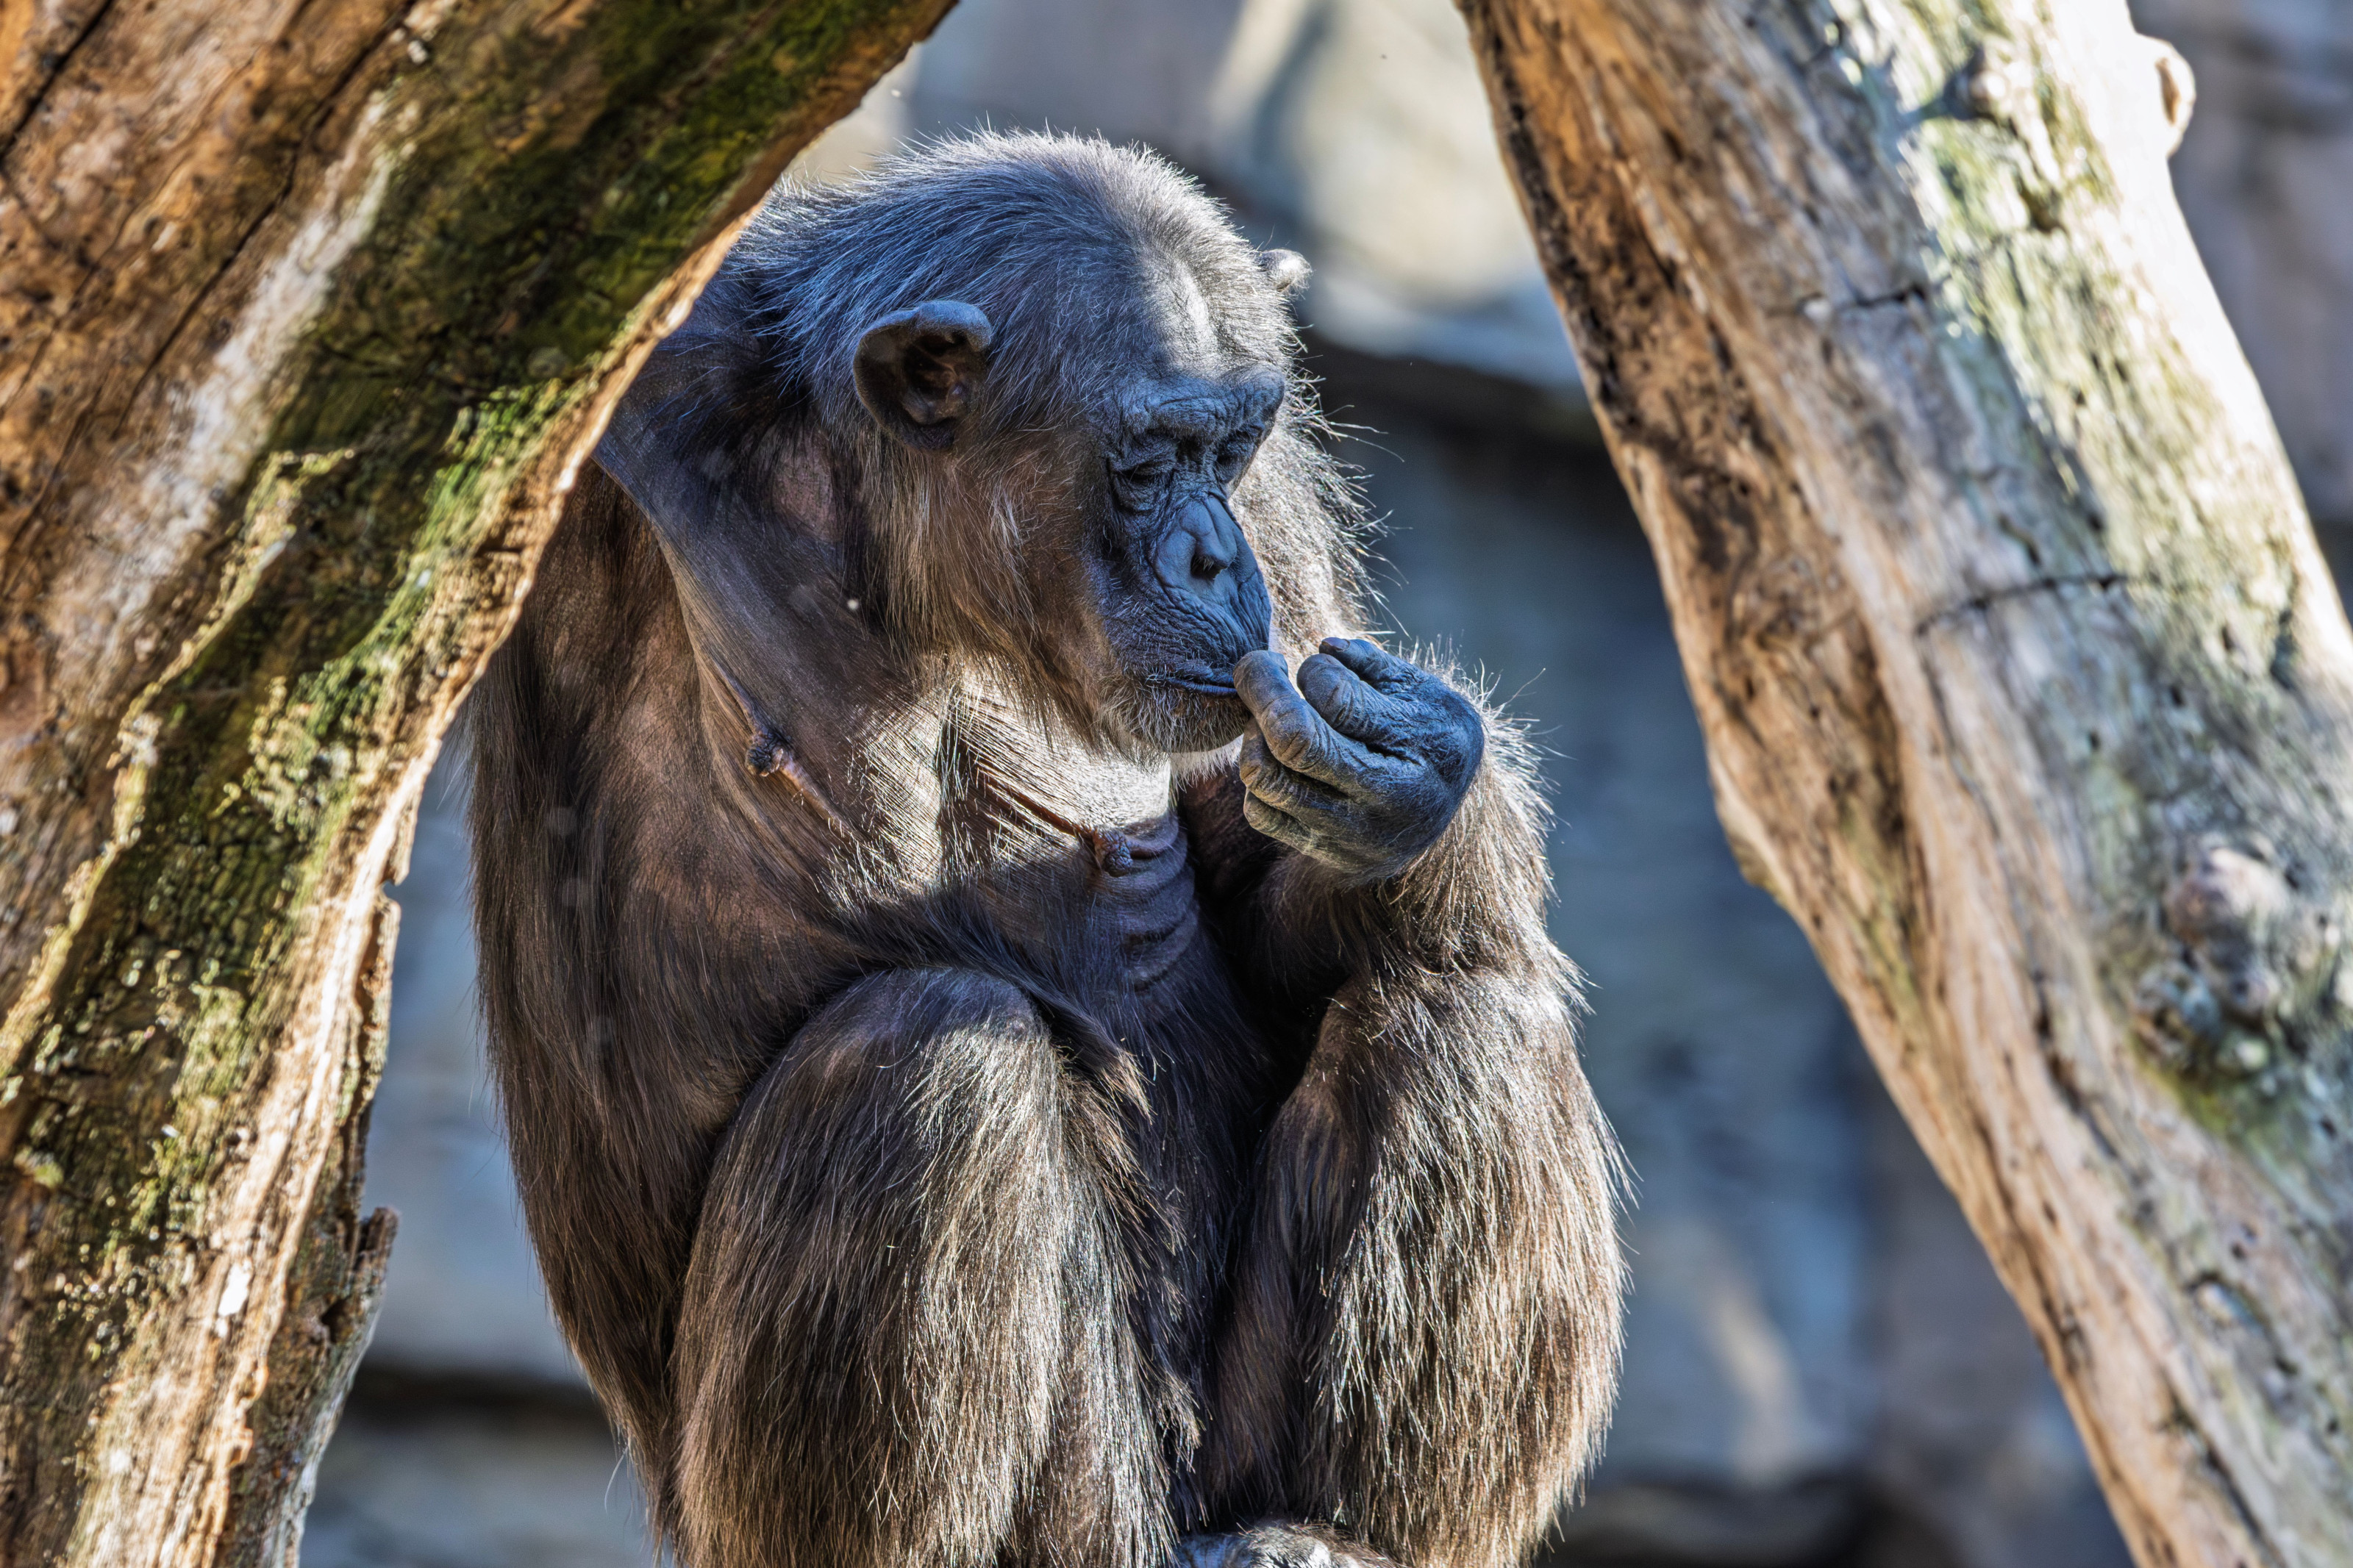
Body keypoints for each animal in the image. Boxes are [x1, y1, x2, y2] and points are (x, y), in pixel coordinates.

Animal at [468, 132, 1624, 1568]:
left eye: (1228, 449)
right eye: (1148, 457)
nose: (1213, 551)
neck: (903, 544)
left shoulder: (1278, 513)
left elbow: (1275, 884)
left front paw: (1415, 772)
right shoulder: (636, 410)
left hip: (1214, 1467)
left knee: (1465, 1009)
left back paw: (1328, 1527)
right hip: (1010, 1506)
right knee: (929, 1054)